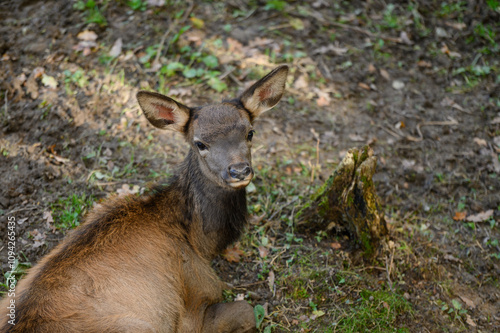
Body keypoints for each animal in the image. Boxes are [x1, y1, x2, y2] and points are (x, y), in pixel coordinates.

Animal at [0, 65, 290, 332]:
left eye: (250, 132)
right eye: (200, 143)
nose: (239, 170)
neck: (199, 242)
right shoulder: (195, 302)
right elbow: (247, 310)